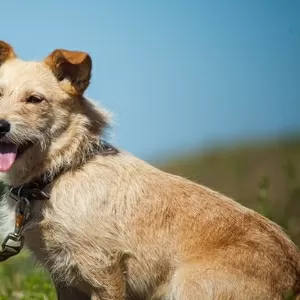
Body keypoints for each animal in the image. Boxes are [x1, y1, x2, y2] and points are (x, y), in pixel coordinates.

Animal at [0, 40, 300, 300]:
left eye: (35, 99)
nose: (1, 125)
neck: (61, 171)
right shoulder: (66, 279)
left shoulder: (104, 270)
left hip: (186, 285)